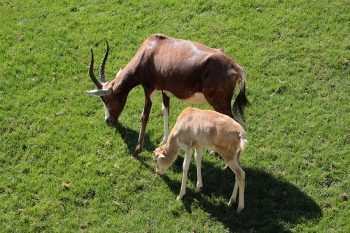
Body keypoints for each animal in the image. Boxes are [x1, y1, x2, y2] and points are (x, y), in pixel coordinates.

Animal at [86, 33, 247, 156]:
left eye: (105, 98)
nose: (108, 121)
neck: (150, 50)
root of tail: (237, 69)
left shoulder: (148, 90)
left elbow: (144, 117)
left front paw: (137, 150)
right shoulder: (164, 90)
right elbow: (165, 110)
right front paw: (163, 140)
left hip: (219, 103)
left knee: (235, 123)